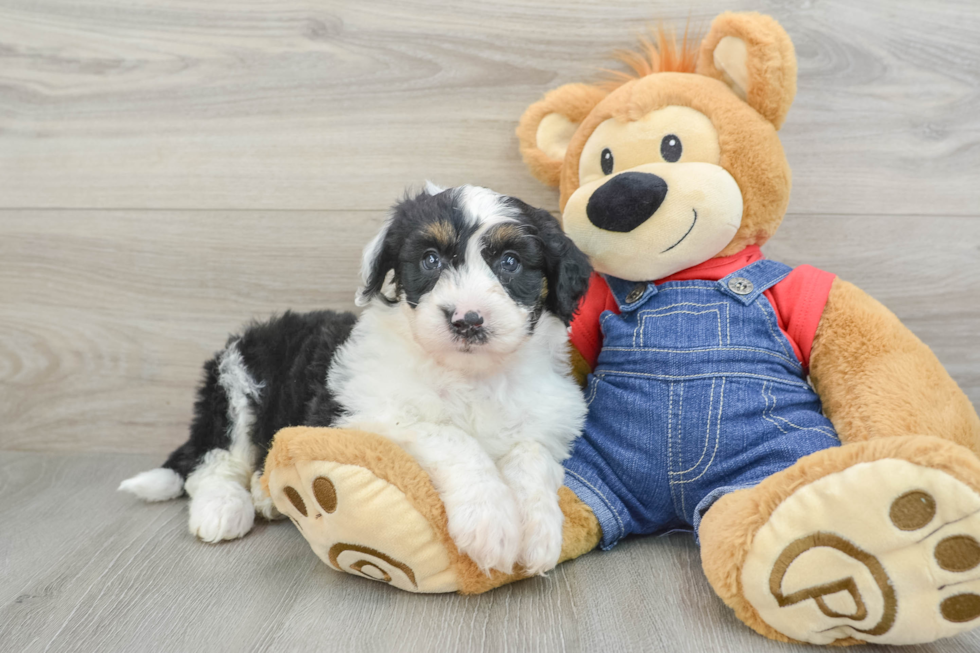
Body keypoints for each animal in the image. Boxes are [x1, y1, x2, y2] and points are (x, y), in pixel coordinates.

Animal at [119, 181, 588, 572]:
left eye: (510, 262)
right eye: (430, 260)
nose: (467, 319)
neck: (472, 374)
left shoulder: (550, 421)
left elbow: (531, 454)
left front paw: (540, 531)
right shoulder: (362, 414)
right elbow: (451, 437)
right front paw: (491, 522)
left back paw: (266, 494)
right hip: (238, 378)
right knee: (212, 460)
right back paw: (224, 509)